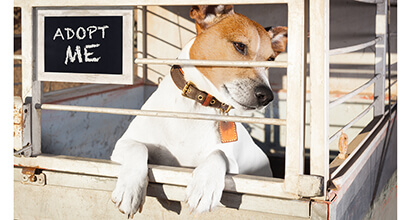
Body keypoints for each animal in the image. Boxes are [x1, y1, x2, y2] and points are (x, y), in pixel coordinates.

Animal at [110, 4, 286, 217]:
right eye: (239, 46)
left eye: (270, 59)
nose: (267, 96)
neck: (196, 105)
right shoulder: (123, 144)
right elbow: (138, 147)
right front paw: (130, 190)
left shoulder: (232, 163)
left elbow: (218, 154)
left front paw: (204, 188)